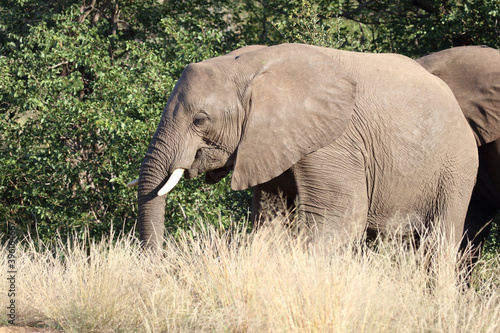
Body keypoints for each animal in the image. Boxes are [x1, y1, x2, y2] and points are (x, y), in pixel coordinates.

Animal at [128, 42, 476, 250]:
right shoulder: (270, 143)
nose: (156, 262)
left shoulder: (334, 144)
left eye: (200, 120)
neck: (253, 67)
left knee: (438, 244)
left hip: (456, 168)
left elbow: (338, 220)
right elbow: (272, 218)